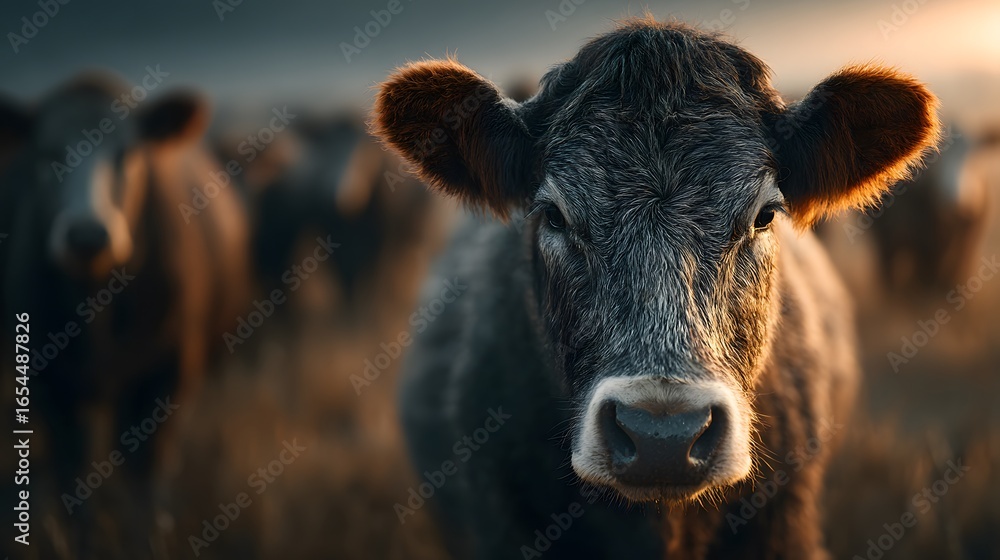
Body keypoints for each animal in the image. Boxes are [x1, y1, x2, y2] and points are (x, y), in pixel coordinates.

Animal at [0, 73, 251, 558]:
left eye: (126, 154)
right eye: (46, 153)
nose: (86, 234)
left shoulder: (166, 373)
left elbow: (144, 478)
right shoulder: (46, 383)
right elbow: (73, 480)